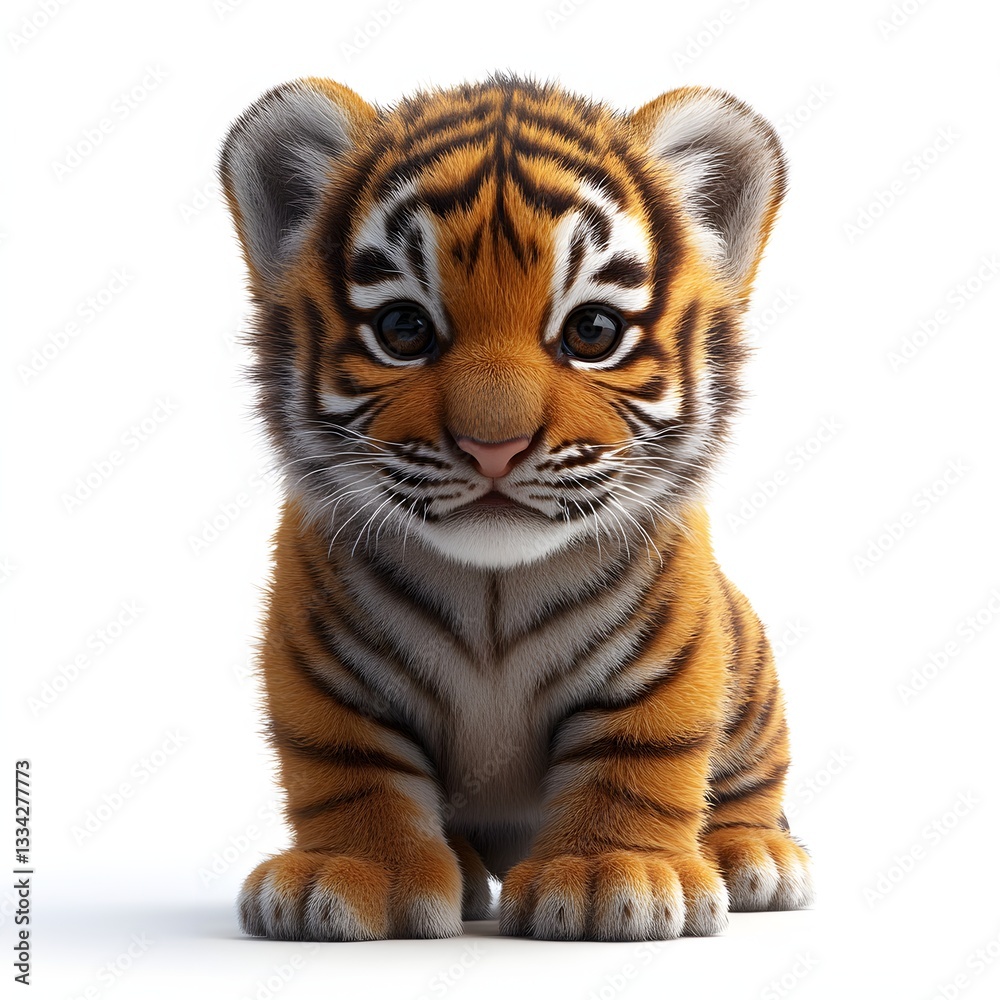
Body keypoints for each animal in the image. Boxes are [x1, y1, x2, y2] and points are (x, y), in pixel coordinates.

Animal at [219, 73, 813, 942]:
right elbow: (351, 769)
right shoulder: (321, 667)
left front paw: (612, 875)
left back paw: (752, 856)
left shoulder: (667, 660)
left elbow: (638, 755)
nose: (492, 445)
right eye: (403, 329)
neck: (492, 590)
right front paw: (352, 873)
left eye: (592, 331)